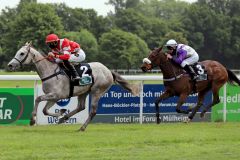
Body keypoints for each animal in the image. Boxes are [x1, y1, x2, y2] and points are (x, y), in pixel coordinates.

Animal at [7, 42, 141, 131]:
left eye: (22, 53)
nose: (10, 65)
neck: (50, 72)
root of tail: (108, 70)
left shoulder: (55, 95)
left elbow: (38, 98)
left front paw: (32, 119)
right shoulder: (54, 97)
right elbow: (45, 110)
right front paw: (61, 113)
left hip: (97, 91)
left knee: (93, 111)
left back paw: (82, 127)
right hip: (83, 92)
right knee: (81, 107)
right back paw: (64, 118)